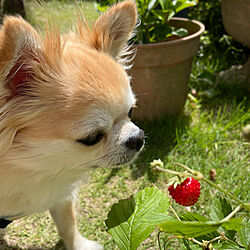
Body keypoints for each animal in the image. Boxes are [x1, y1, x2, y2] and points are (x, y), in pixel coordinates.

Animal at [0, 0, 145, 249]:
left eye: (131, 111)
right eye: (91, 138)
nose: (138, 138)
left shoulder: (60, 191)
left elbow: (67, 223)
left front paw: (78, 245)